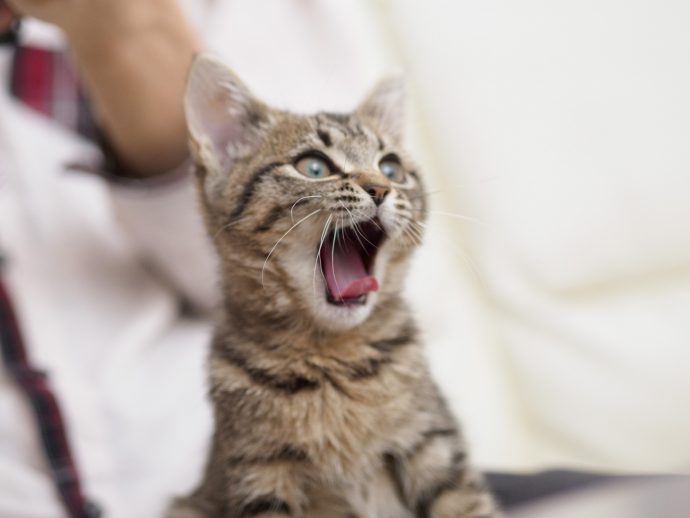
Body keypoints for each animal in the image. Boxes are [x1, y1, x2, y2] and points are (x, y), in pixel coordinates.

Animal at [167, 55, 500, 518]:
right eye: (314, 167)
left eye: (391, 168)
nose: (381, 188)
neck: (333, 355)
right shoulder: (259, 473)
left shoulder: (432, 442)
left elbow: (465, 504)